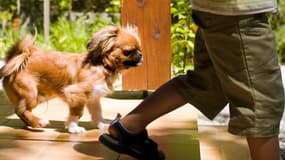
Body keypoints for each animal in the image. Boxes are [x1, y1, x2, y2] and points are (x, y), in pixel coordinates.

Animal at [0, 26, 142, 134]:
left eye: (140, 49)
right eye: (128, 51)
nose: (140, 55)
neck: (102, 66)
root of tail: (21, 57)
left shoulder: (93, 98)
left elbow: (97, 113)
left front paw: (102, 125)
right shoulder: (76, 94)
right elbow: (77, 113)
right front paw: (73, 128)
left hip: (39, 96)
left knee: (22, 110)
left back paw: (32, 123)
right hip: (31, 94)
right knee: (20, 110)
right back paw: (39, 122)